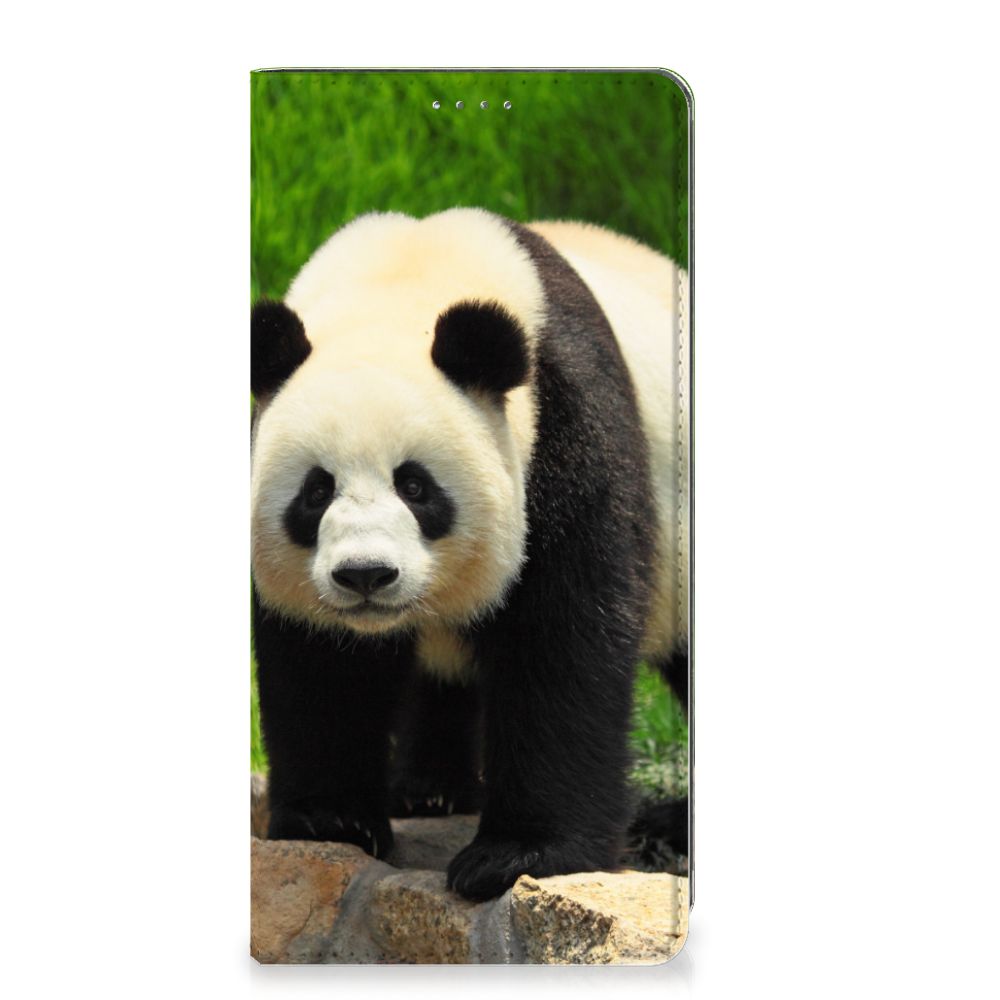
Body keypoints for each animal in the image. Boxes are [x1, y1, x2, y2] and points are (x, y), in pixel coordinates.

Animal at [250, 208, 689, 902]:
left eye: (416, 486)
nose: (366, 575)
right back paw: (429, 790)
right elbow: (320, 662)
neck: (402, 280)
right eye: (316, 492)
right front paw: (331, 820)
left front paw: (516, 856)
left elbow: (562, 638)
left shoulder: (566, 427)